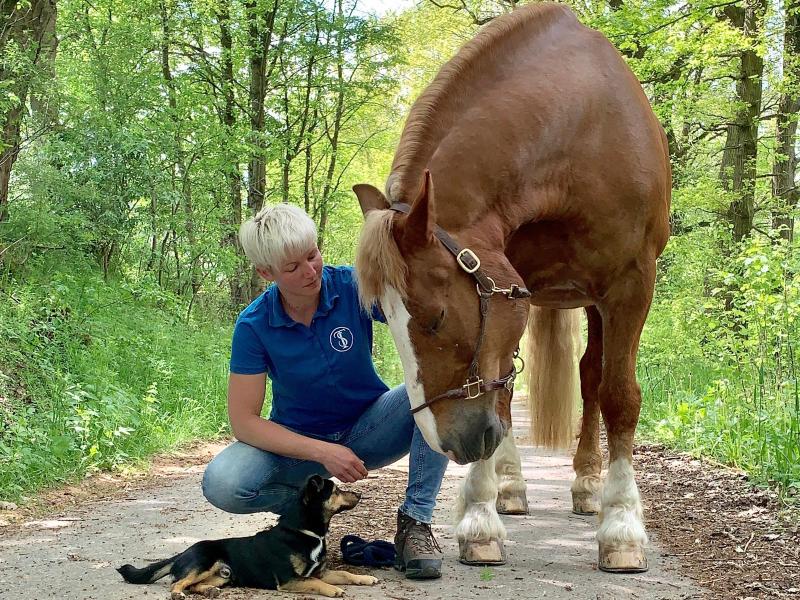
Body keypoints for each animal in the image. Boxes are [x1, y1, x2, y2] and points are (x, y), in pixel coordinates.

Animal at [117, 476, 380, 596]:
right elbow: (316, 583)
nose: (359, 494)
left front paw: (365, 579)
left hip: (223, 576)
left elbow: (345, 573)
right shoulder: (289, 579)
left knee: (196, 585)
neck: (306, 532)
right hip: (203, 562)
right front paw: (333, 590)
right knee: (177, 583)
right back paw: (178, 594)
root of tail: (182, 553)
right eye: (335, 490)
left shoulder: (321, 571)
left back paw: (209, 592)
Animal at [354, 2, 672, 576]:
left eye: (435, 316)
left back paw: (587, 484)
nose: (449, 443)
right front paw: (480, 517)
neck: (579, 133)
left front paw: (620, 527)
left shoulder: (632, 285)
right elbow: (499, 391)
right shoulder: (511, 289)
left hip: (597, 303)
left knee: (592, 379)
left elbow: (619, 396)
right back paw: (511, 486)